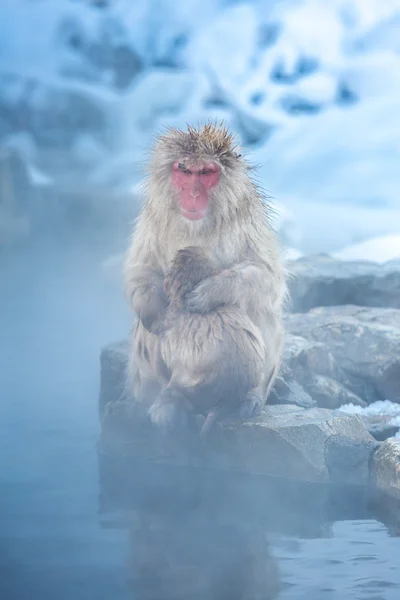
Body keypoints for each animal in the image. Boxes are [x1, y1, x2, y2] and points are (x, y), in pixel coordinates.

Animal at [124, 122, 288, 428]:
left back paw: (251, 396)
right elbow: (141, 269)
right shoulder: (153, 217)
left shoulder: (246, 220)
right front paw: (154, 310)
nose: (193, 195)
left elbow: (267, 277)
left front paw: (211, 292)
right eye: (184, 170)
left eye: (206, 173)